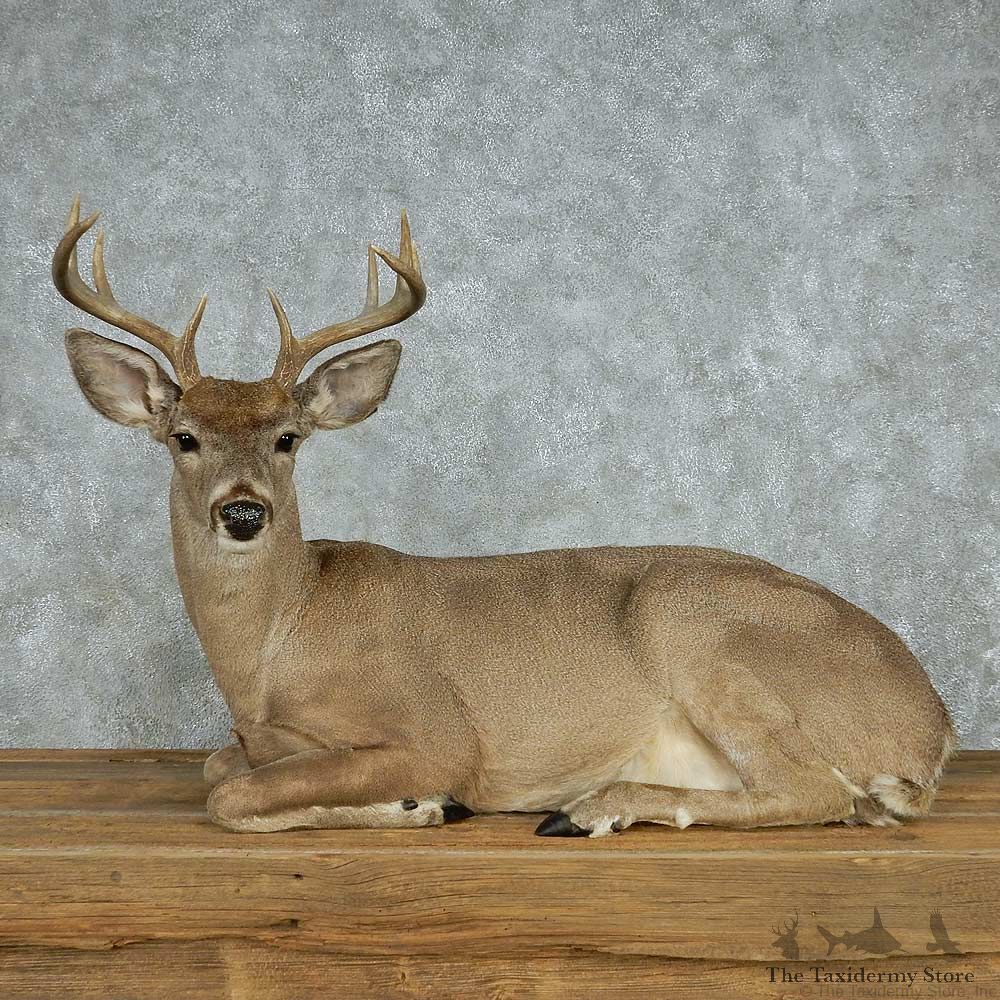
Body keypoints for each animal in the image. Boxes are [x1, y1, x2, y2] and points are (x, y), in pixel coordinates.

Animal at [54, 196, 957, 838]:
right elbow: (217, 770)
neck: (274, 650)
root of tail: (933, 726)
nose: (243, 511)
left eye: (288, 437)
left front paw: (420, 805)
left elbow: (233, 797)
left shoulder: (436, 729)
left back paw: (591, 807)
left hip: (699, 626)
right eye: (184, 437)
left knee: (813, 789)